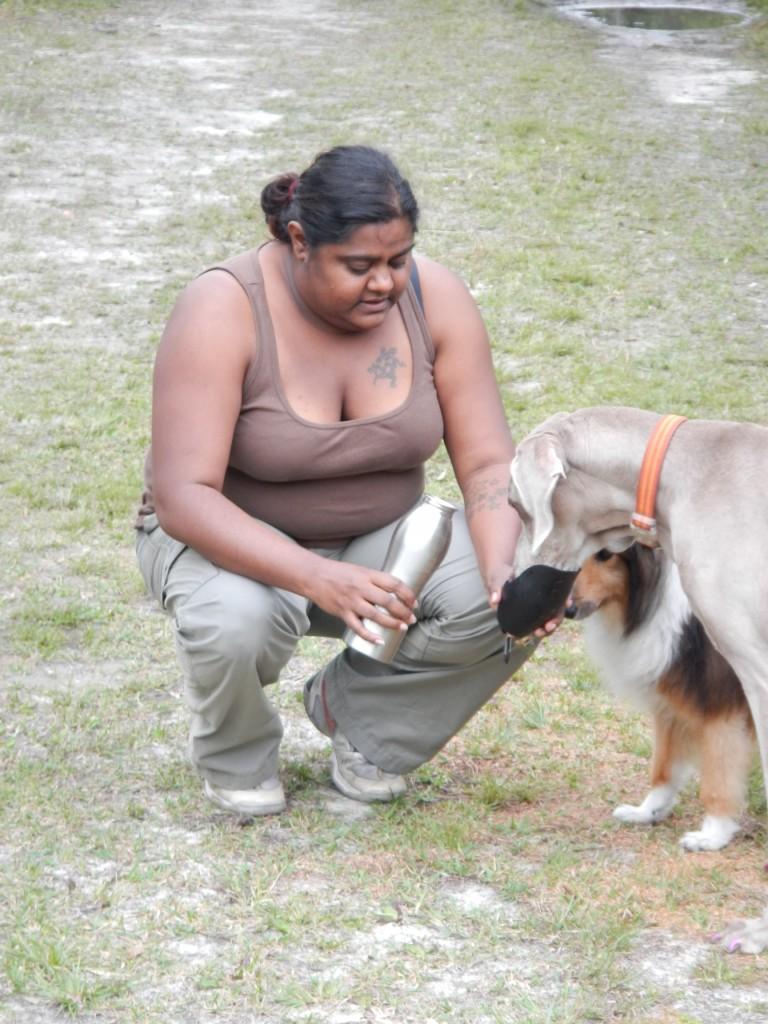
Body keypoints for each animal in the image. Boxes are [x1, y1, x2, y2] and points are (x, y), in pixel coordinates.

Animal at [569, 548, 753, 851]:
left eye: (605, 555)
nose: (567, 610)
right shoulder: (671, 711)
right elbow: (664, 768)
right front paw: (647, 811)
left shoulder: (722, 709)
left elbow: (718, 779)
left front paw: (712, 835)